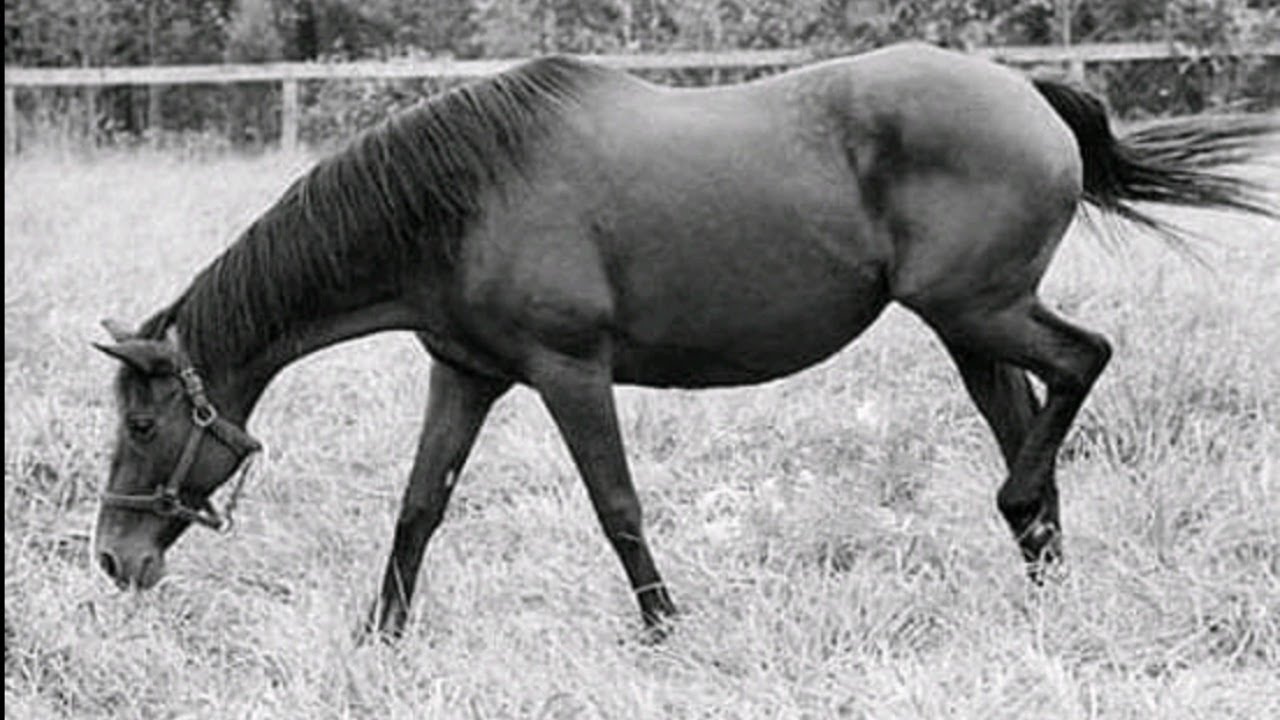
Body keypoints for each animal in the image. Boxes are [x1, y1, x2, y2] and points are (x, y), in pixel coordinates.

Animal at [92, 43, 1277, 639]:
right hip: (968, 328)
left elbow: (615, 506)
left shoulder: (569, 373)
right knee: (1027, 420)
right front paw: (377, 638)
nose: (113, 558)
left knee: (1082, 364)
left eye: (144, 424)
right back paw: (1042, 577)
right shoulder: (465, 374)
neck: (461, 200)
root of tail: (1023, 89)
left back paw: (1022, 520)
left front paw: (666, 628)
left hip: (979, 311)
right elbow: (420, 506)